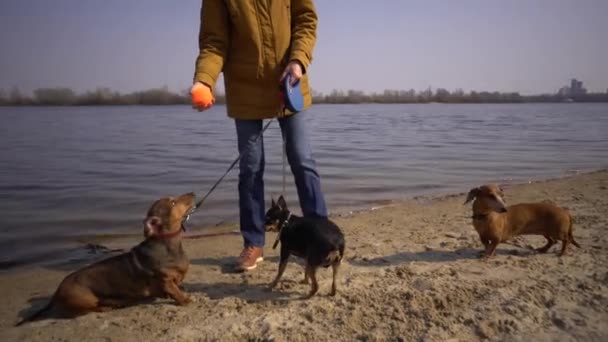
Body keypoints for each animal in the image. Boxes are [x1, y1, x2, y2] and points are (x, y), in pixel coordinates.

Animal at [17, 192, 195, 326]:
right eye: (173, 202)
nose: (192, 193)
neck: (168, 245)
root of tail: (56, 293)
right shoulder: (165, 280)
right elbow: (175, 291)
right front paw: (185, 299)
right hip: (86, 299)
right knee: (89, 309)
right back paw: (107, 307)